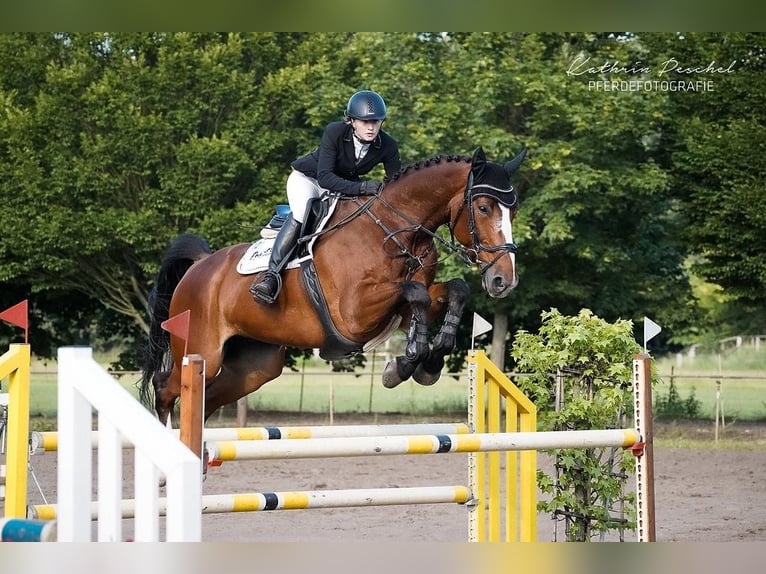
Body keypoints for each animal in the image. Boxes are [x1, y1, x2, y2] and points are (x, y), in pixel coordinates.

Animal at [140, 146, 528, 426]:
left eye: (514, 210)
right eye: (483, 207)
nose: (503, 281)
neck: (395, 232)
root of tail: (201, 264)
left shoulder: (401, 307)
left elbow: (453, 290)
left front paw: (426, 360)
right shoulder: (354, 315)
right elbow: (414, 294)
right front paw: (409, 362)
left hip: (254, 365)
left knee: (208, 398)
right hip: (202, 350)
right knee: (166, 387)